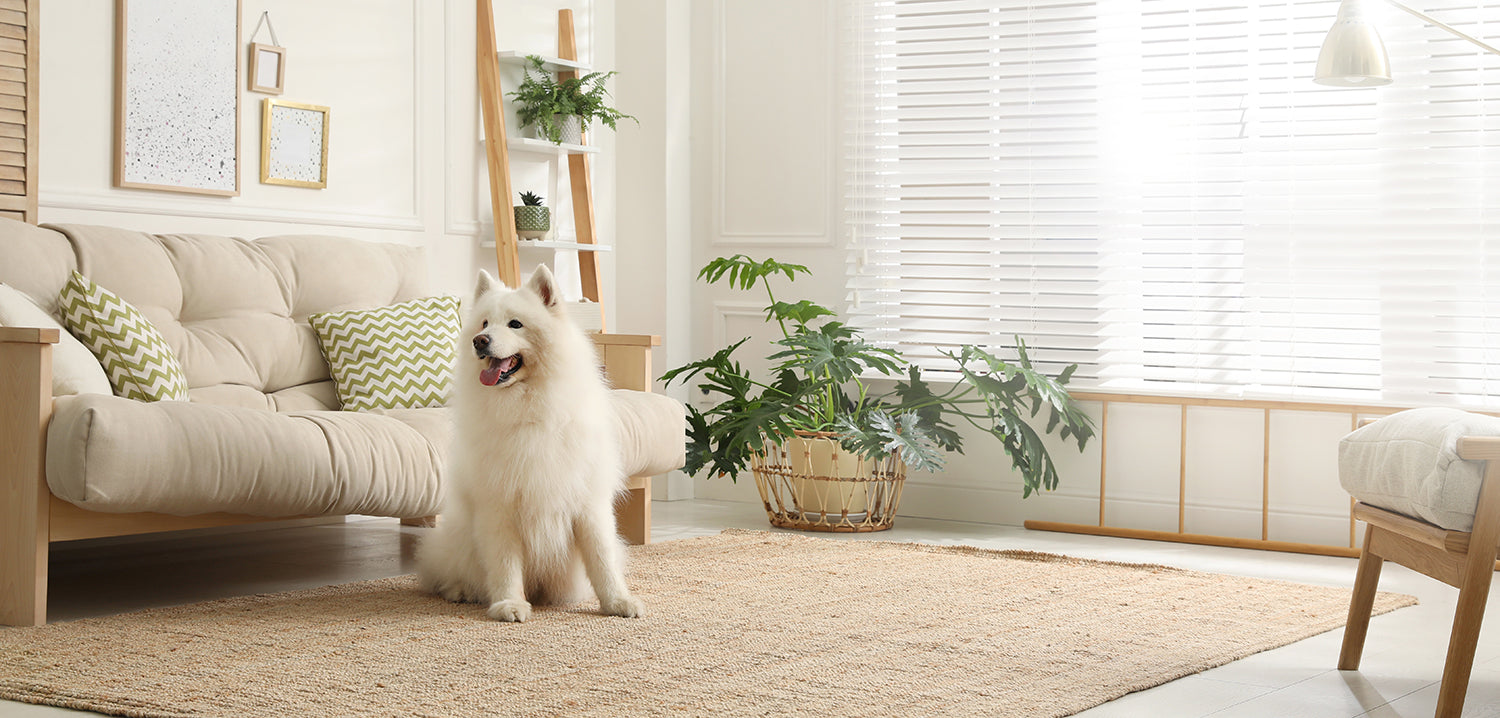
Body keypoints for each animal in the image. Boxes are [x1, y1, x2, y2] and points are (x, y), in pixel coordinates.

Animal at [417, 266, 645, 620]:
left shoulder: (588, 502)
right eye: (484, 324)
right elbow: (505, 563)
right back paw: (460, 591)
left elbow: (602, 558)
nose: (479, 341)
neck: (529, 411)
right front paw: (509, 604)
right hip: (455, 542)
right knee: (444, 572)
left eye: (515, 324)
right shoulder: (498, 505)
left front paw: (618, 602)